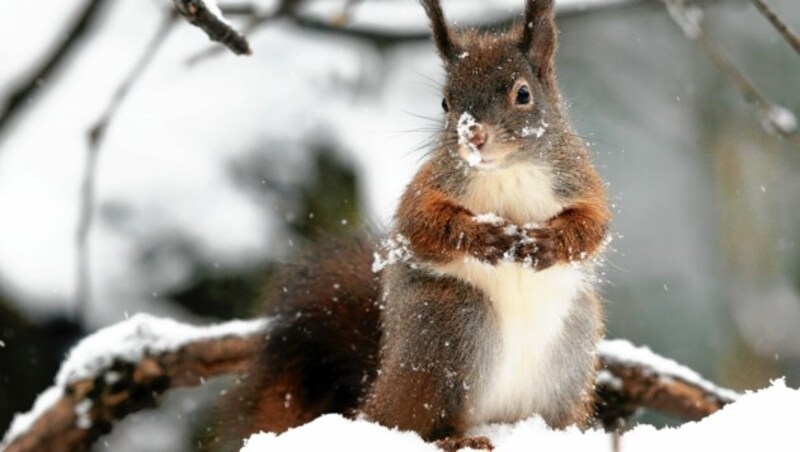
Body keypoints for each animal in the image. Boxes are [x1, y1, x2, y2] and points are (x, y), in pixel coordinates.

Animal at [216, 1, 608, 450]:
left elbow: (593, 226)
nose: (472, 136)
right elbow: (421, 224)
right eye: (445, 103)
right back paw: (457, 438)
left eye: (523, 94)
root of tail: (377, 395)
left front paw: (548, 242)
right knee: (419, 424)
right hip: (449, 326)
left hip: (574, 344)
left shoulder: (580, 181)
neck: (506, 171)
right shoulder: (426, 187)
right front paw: (481, 236)